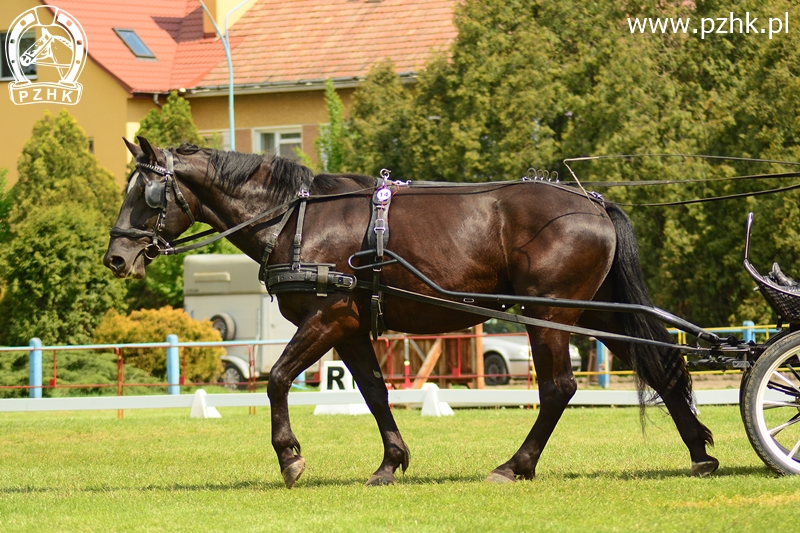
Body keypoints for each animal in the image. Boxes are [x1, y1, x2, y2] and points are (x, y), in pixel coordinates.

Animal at [101, 137, 720, 486]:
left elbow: (275, 379)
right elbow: (375, 393)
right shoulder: (350, 327)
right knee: (661, 367)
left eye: (147, 195)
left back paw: (516, 465)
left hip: (552, 316)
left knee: (559, 388)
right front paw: (390, 462)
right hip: (593, 313)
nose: (116, 257)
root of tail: (590, 201)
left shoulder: (326, 319)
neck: (296, 217)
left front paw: (290, 458)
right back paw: (699, 452)